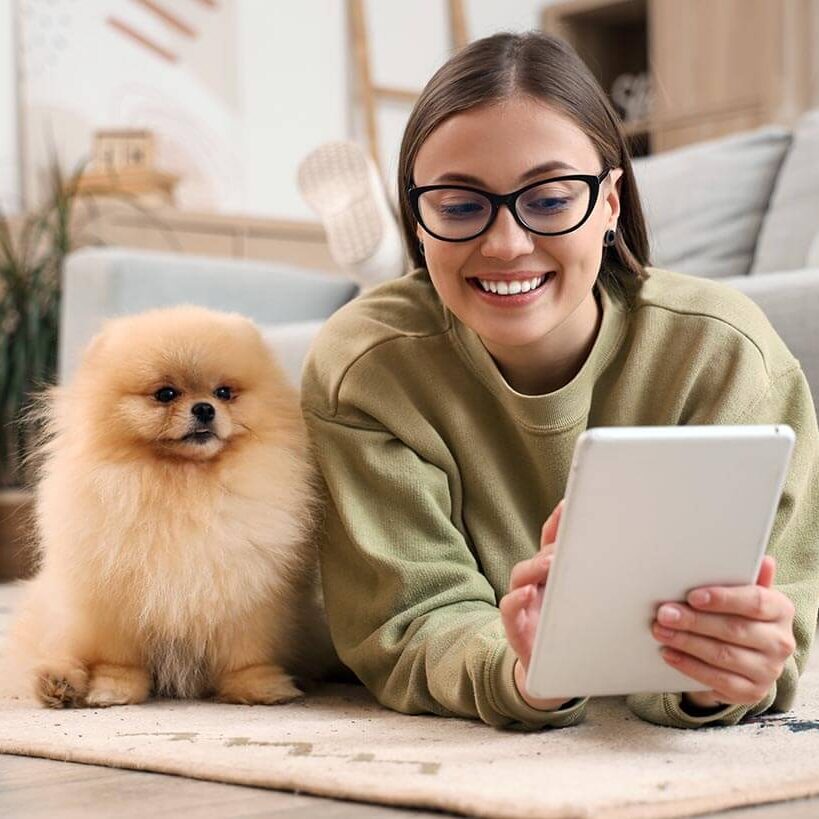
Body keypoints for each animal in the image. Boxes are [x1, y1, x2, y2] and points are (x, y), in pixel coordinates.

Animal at [0, 304, 342, 708]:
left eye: (224, 392)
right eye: (165, 394)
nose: (205, 408)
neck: (184, 485)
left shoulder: (250, 593)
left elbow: (247, 654)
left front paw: (260, 687)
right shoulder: (116, 600)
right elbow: (118, 660)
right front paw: (113, 689)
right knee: (47, 653)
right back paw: (59, 682)